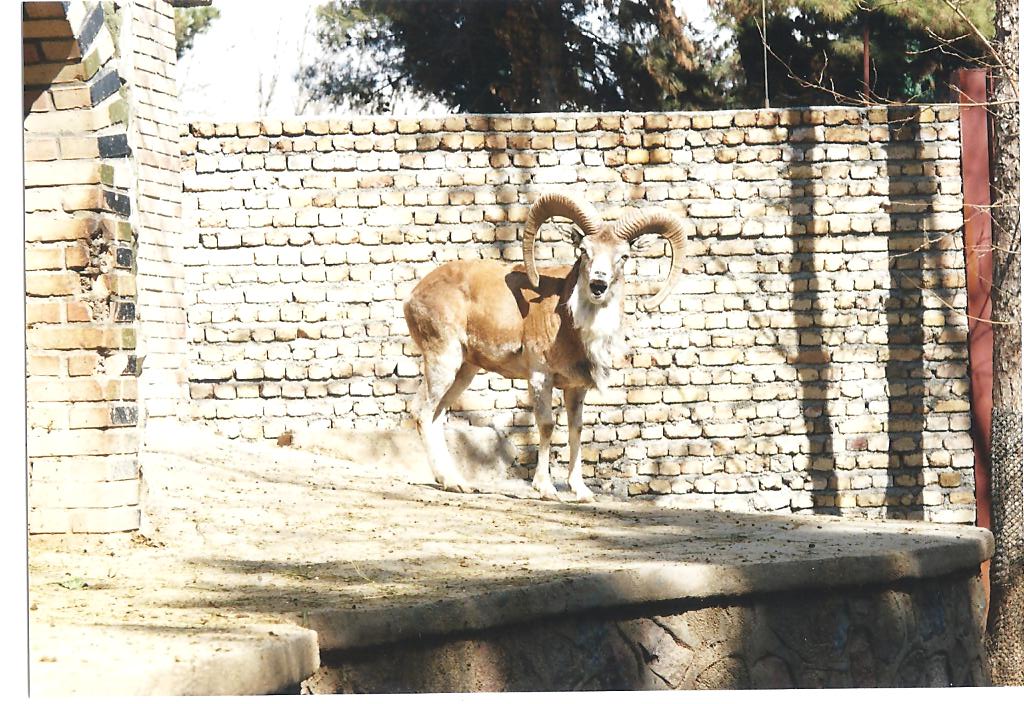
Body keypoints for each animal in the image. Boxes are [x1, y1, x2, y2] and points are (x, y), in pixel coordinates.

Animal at [402, 191, 687, 501]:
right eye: (584, 250)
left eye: (623, 256)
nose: (598, 285)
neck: (569, 322)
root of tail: (414, 296)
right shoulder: (541, 377)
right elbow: (547, 425)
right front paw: (546, 489)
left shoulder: (576, 388)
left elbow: (576, 429)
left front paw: (581, 491)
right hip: (443, 360)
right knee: (423, 412)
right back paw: (452, 482)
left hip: (465, 370)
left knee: (437, 415)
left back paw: (458, 482)